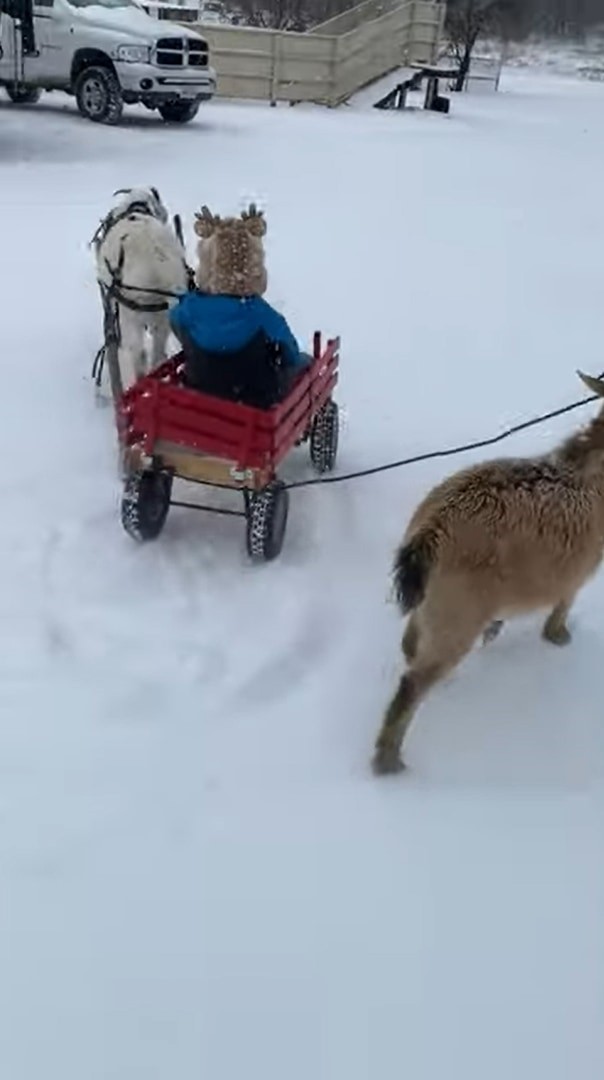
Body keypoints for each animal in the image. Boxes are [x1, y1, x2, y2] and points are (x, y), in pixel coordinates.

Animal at [371, 371, 604, 777]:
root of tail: (431, 532)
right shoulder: (581, 564)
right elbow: (566, 598)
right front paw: (558, 634)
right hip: (459, 609)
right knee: (413, 682)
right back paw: (388, 759)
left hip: (437, 601)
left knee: (412, 643)